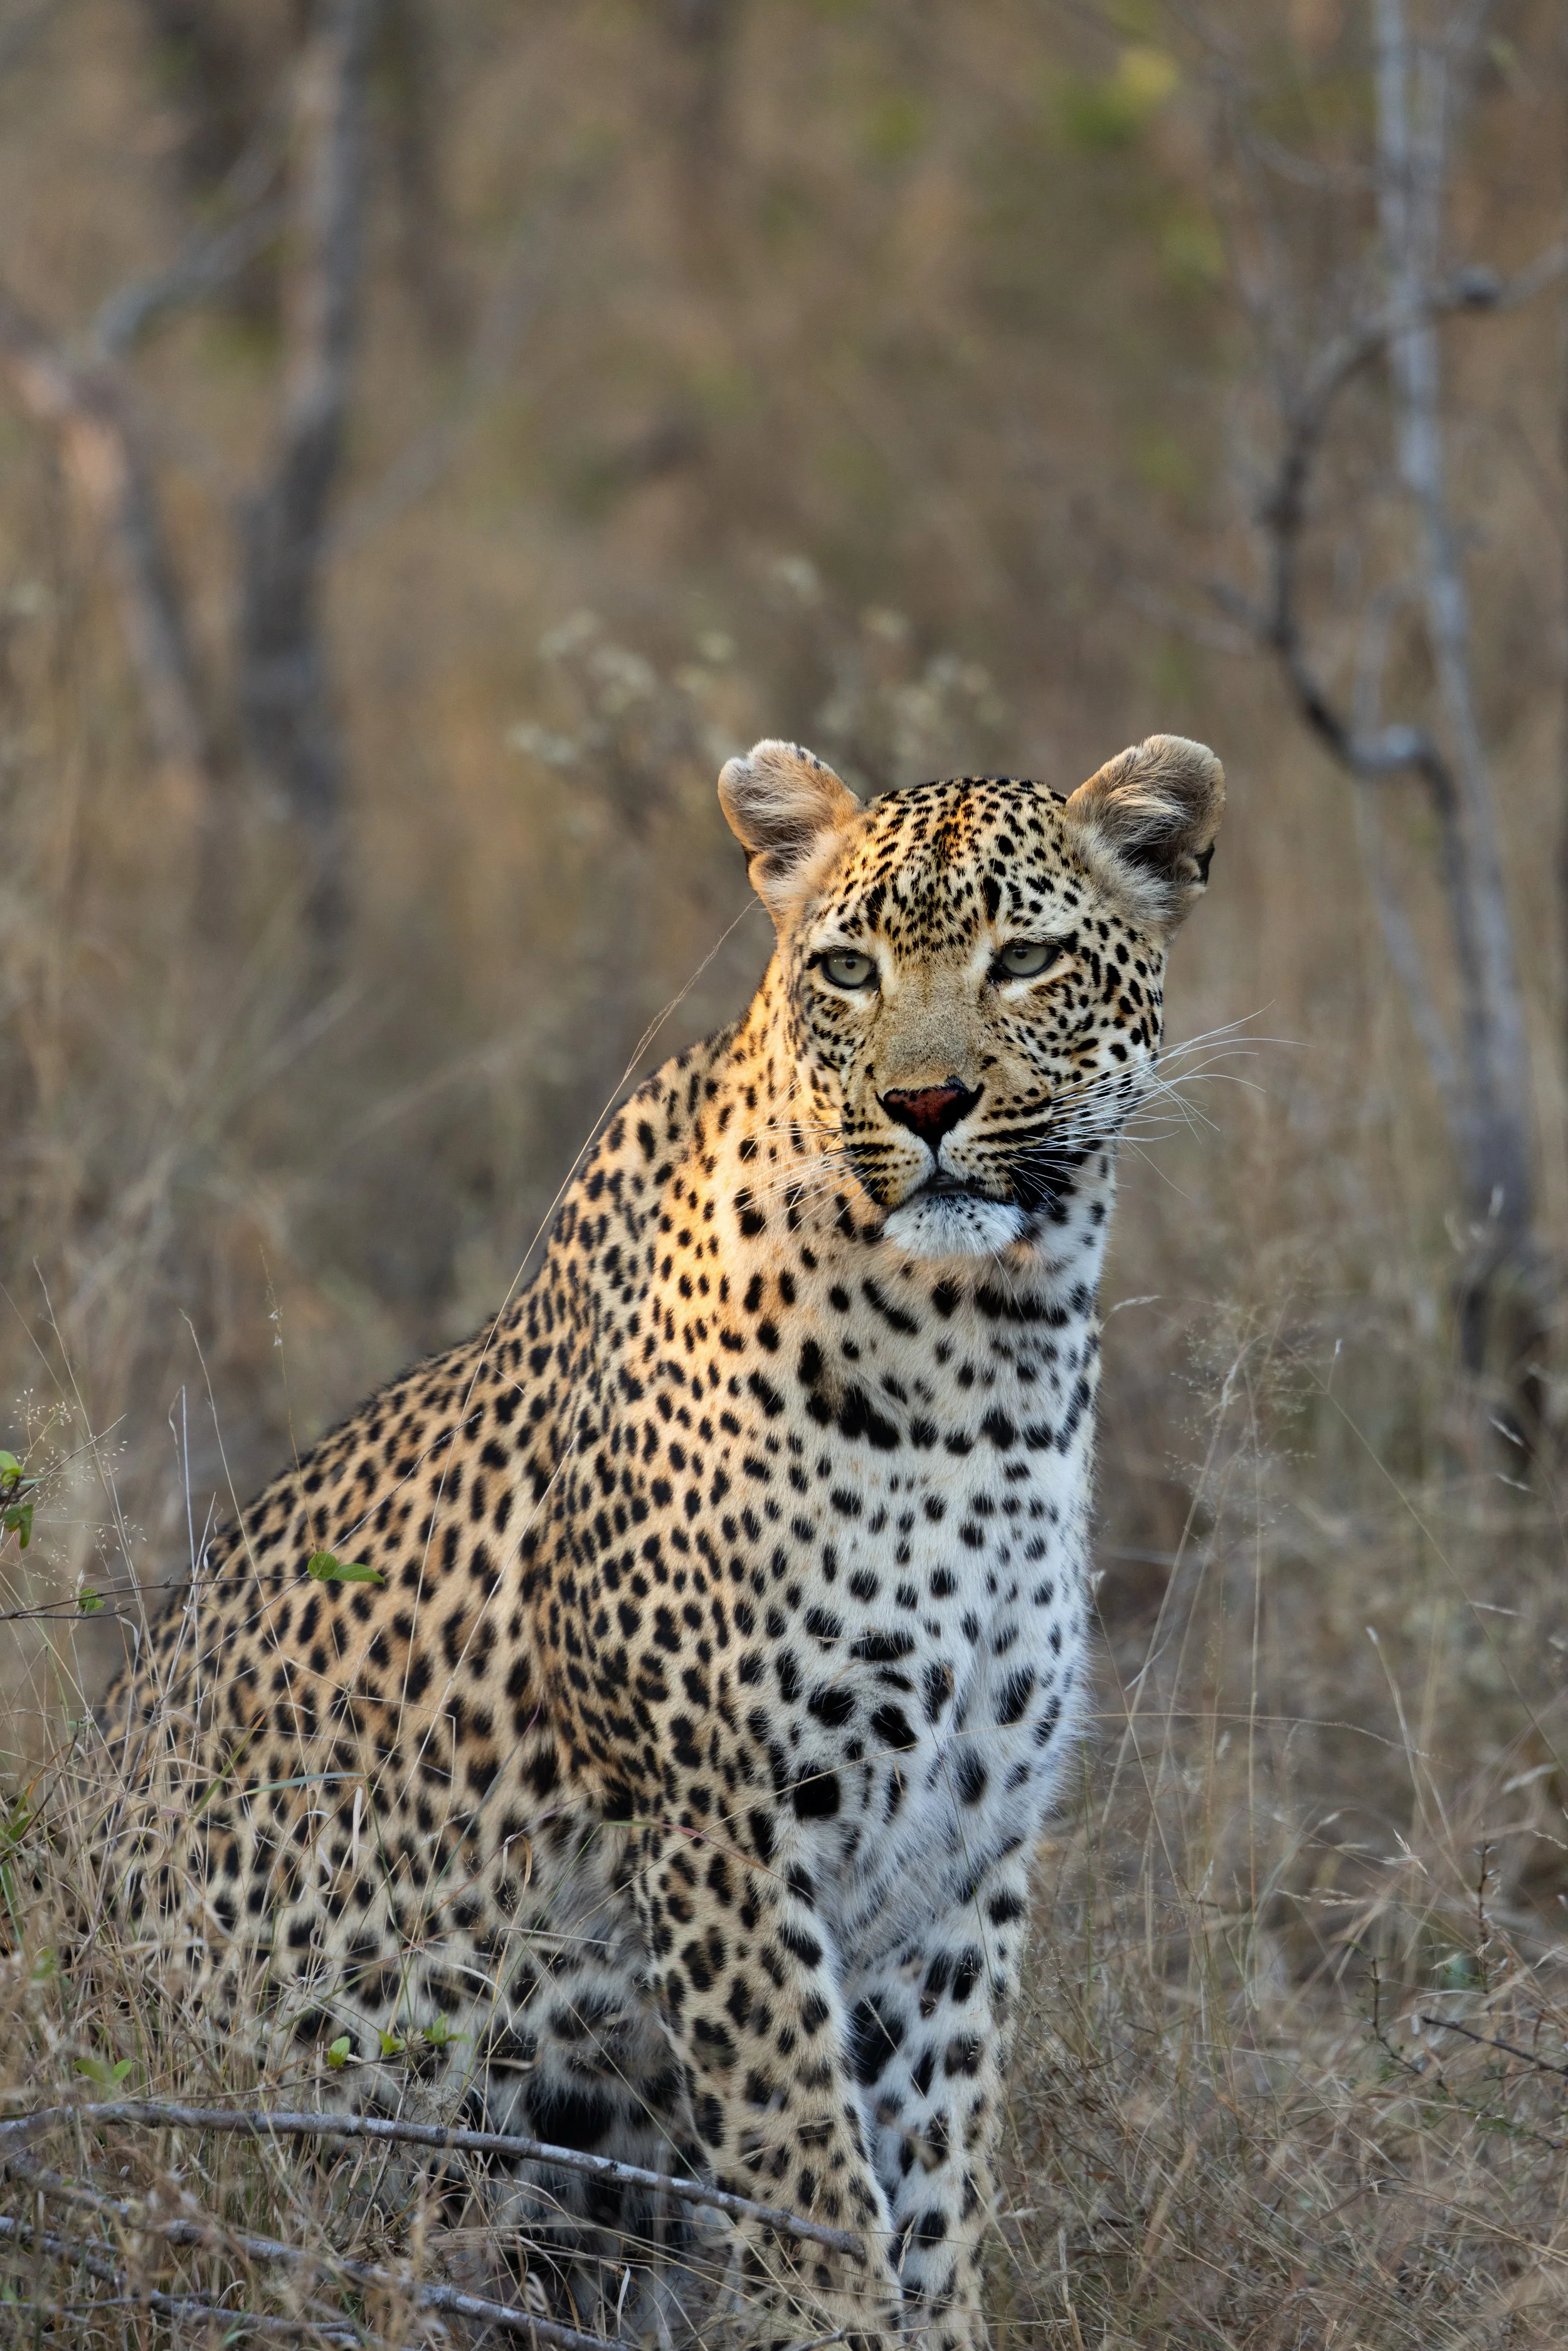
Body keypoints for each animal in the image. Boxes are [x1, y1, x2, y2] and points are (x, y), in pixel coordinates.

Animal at [91, 731, 1223, 2350]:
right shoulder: (727, 1818)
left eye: (1024, 959)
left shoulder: (967, 1844)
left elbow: (937, 2171)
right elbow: (810, 2163)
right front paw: (839, 2323)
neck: (988, 1358)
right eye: (848, 967)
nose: (928, 1101)